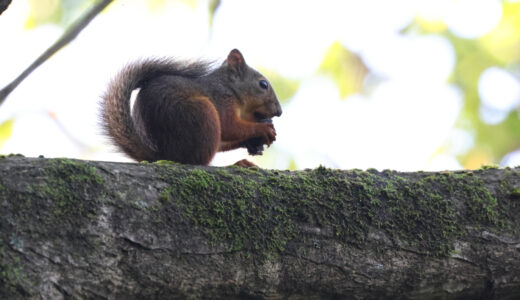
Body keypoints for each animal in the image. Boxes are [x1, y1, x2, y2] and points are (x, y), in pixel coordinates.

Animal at [100, 49, 280, 166]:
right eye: (263, 84)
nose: (279, 112)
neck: (229, 87)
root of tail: (164, 154)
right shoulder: (221, 99)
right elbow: (229, 126)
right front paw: (263, 129)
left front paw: (253, 142)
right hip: (201, 113)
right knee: (198, 162)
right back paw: (237, 164)